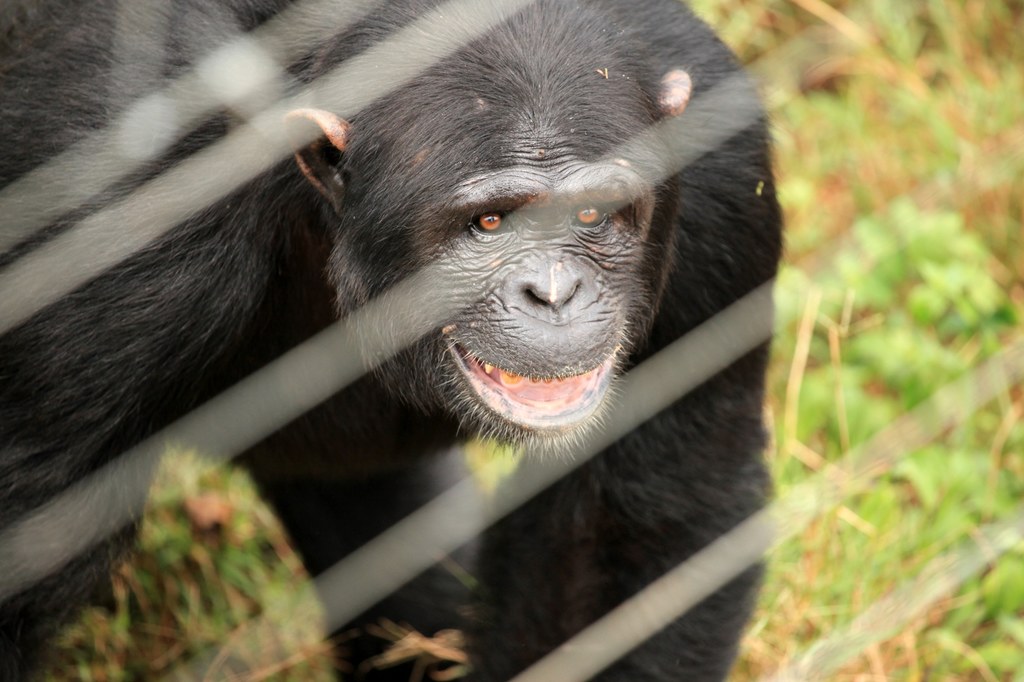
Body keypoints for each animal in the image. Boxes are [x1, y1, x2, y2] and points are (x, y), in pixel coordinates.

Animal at [2, 0, 782, 675]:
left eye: (592, 213)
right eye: (490, 223)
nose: (554, 292)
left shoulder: (723, 180)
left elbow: (625, 529)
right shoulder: (115, 207)